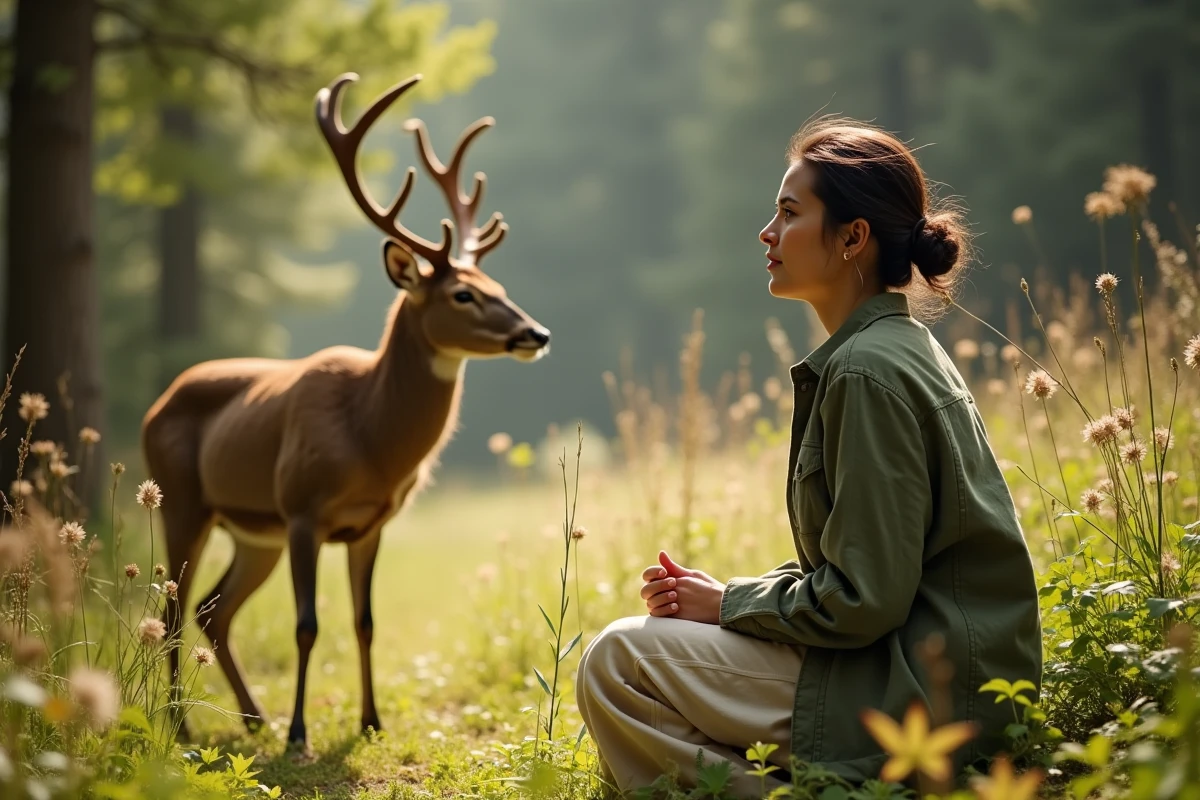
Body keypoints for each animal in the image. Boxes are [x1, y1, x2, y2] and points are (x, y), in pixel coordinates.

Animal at [141, 72, 550, 750]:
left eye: (499, 288)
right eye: (462, 294)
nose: (535, 333)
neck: (370, 438)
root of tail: (159, 402)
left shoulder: (372, 523)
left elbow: (365, 620)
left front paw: (371, 721)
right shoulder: (303, 507)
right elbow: (307, 624)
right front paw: (301, 734)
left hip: (254, 531)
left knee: (210, 609)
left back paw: (251, 718)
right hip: (183, 501)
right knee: (173, 608)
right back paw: (180, 725)